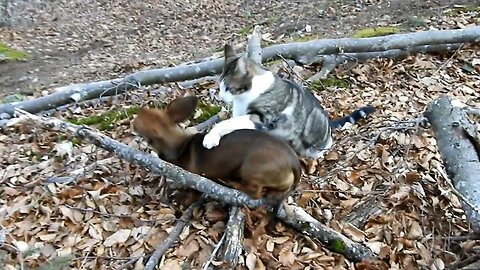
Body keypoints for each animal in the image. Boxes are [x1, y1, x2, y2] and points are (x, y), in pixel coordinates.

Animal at [132, 97, 300, 209]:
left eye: (139, 119)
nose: (134, 119)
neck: (179, 145)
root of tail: (294, 162)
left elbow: (191, 194)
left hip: (251, 168)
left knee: (255, 192)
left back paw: (232, 183)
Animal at [202, 43, 376, 159]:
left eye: (228, 87)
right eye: (220, 86)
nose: (220, 97)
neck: (243, 98)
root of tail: (327, 122)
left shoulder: (263, 117)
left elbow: (225, 123)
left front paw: (210, 137)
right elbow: (232, 125)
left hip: (313, 126)